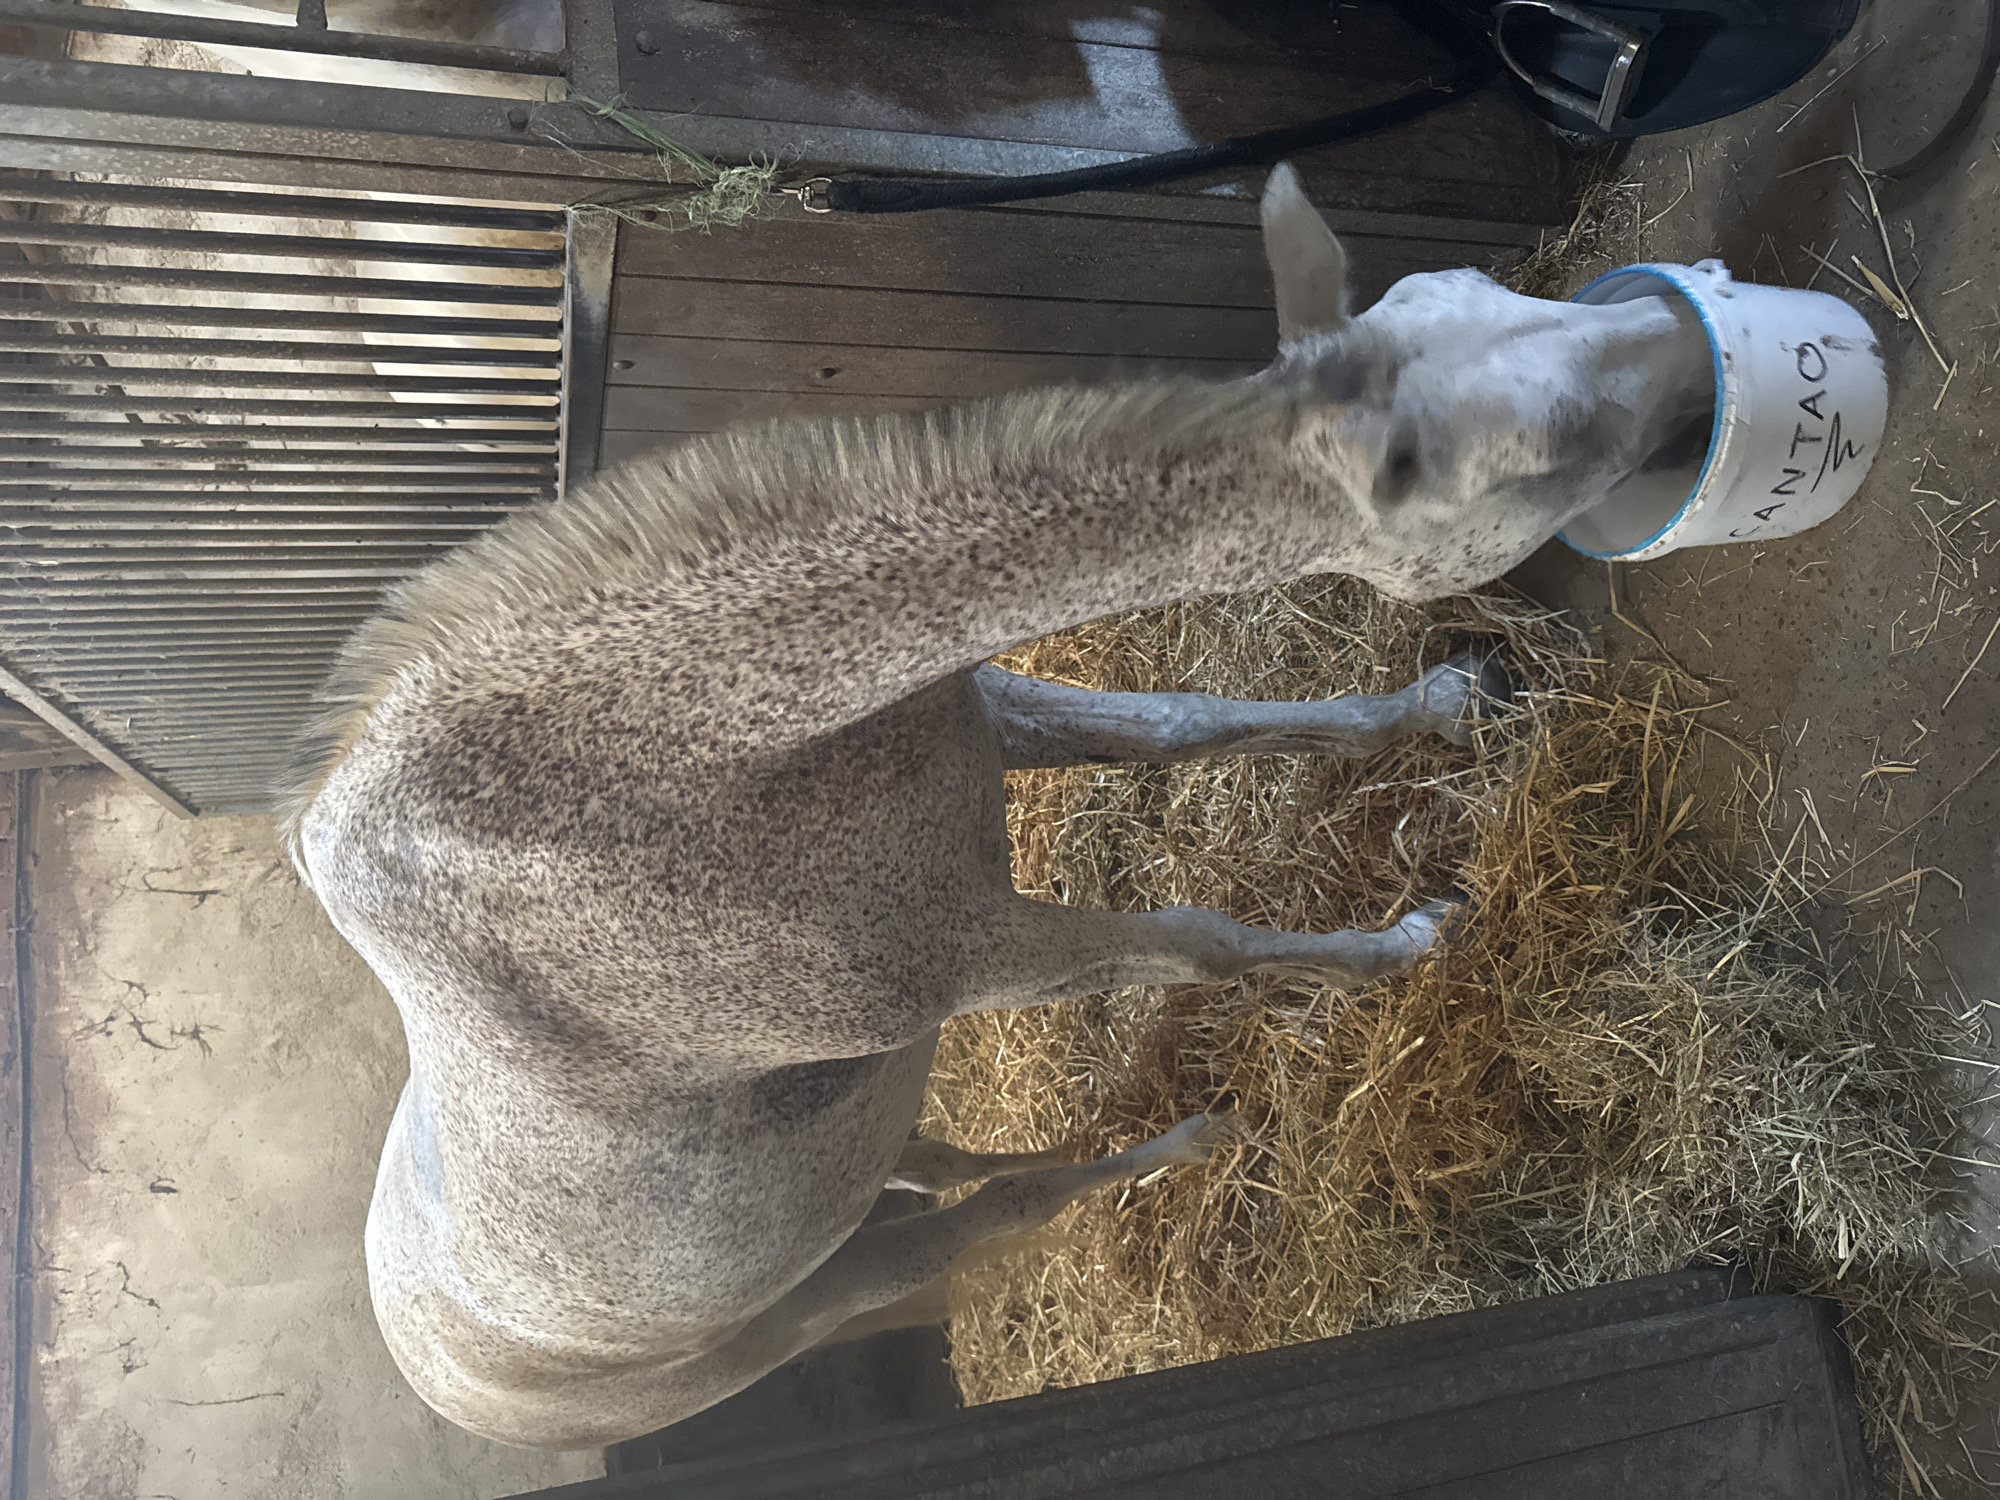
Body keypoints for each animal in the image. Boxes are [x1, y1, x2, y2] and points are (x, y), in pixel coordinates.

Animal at [279, 163, 1714, 1448]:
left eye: (1473, 290)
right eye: (1541, 454)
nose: (1687, 325)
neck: (666, 766)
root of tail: (445, 1377)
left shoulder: (983, 721)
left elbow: (1188, 721)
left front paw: (1448, 704)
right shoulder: (981, 955)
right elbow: (1203, 942)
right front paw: (1411, 941)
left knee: (936, 1168)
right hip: (825, 1295)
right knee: (992, 1217)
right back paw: (1185, 1139)